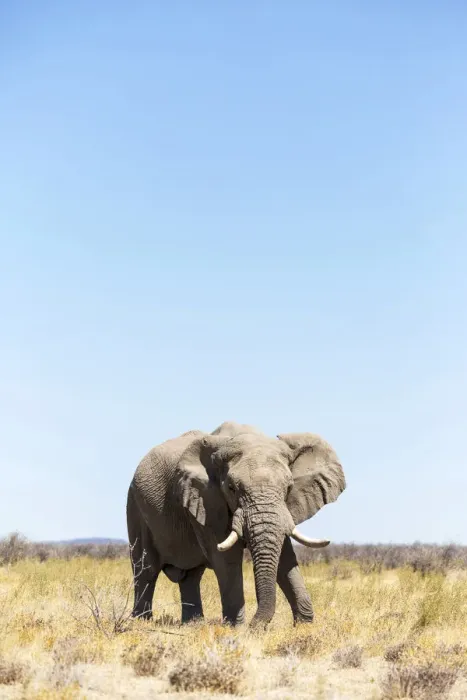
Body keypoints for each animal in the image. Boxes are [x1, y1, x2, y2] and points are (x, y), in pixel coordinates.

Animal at [126, 421, 345, 627]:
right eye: (231, 488)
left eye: (289, 487)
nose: (255, 626)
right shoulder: (207, 500)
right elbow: (226, 558)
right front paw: (236, 629)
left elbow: (285, 557)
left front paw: (304, 625)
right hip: (135, 507)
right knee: (146, 569)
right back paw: (141, 622)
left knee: (191, 575)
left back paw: (193, 624)